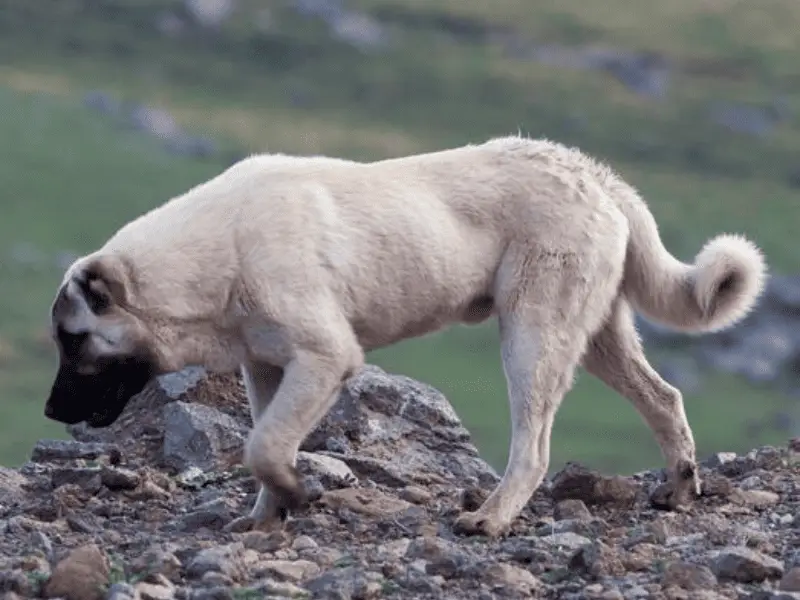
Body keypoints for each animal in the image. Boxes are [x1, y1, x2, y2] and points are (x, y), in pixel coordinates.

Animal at [45, 137, 768, 540]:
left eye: (75, 340)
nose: (51, 410)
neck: (213, 255)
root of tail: (595, 174)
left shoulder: (326, 358)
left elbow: (263, 445)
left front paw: (294, 495)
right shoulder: (267, 369)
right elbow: (264, 443)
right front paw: (268, 515)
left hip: (533, 338)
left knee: (533, 447)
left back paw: (491, 518)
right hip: (595, 338)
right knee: (665, 398)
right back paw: (680, 487)